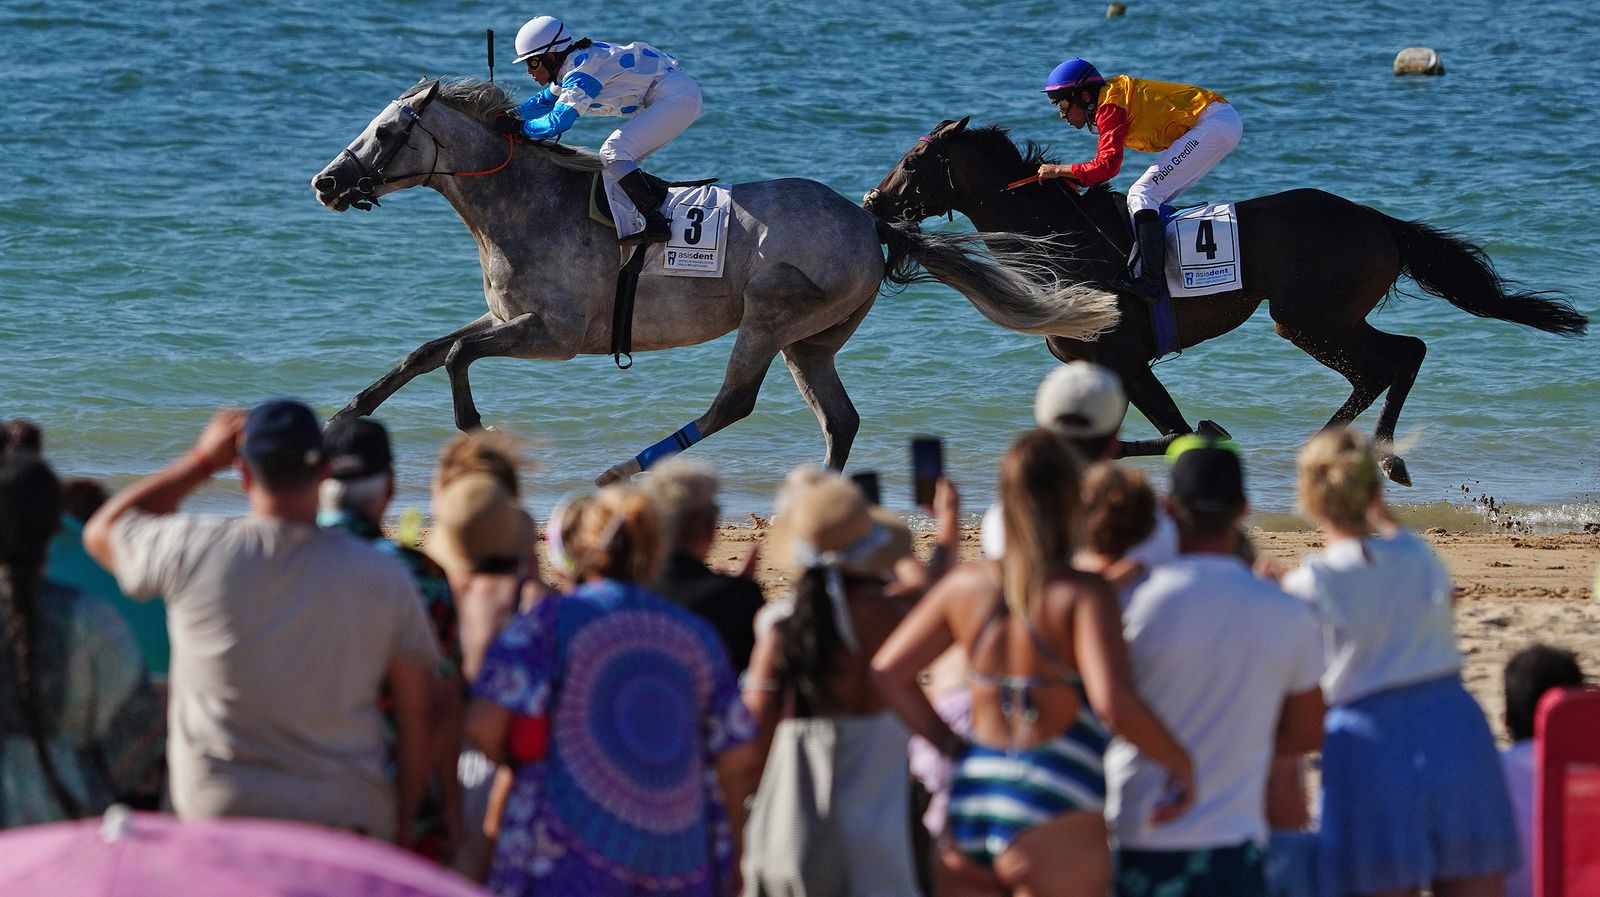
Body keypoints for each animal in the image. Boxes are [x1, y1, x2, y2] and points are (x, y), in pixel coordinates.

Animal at [311, 82, 1119, 485]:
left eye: (386, 132)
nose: (326, 182)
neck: (526, 202)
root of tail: (869, 221)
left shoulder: (554, 335)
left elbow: (453, 355)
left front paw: (475, 427)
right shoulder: (511, 319)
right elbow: (424, 350)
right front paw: (344, 415)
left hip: (768, 315)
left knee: (734, 402)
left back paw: (621, 469)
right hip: (810, 341)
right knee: (840, 419)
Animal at [862, 117, 1587, 485]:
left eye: (915, 158)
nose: (872, 201)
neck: (1059, 240)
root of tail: (1378, 220)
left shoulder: (1126, 359)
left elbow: (1171, 432)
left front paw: (1212, 434)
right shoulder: (1102, 366)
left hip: (1307, 316)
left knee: (1393, 359)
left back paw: (1359, 450)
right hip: (1325, 317)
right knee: (1400, 357)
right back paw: (1370, 451)